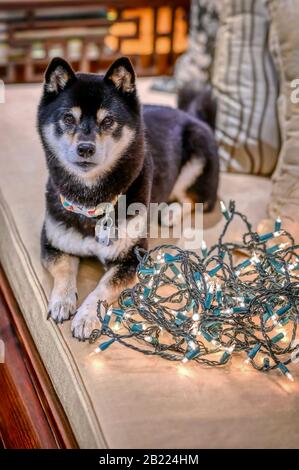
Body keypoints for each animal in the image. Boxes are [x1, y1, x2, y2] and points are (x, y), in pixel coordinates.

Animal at [38, 57, 220, 340]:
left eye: (108, 121)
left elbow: (101, 289)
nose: (85, 148)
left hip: (197, 157)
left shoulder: (131, 259)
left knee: (194, 199)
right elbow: (65, 270)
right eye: (68, 118)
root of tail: (194, 117)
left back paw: (169, 212)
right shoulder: (53, 243)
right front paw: (62, 301)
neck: (91, 203)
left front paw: (86, 316)